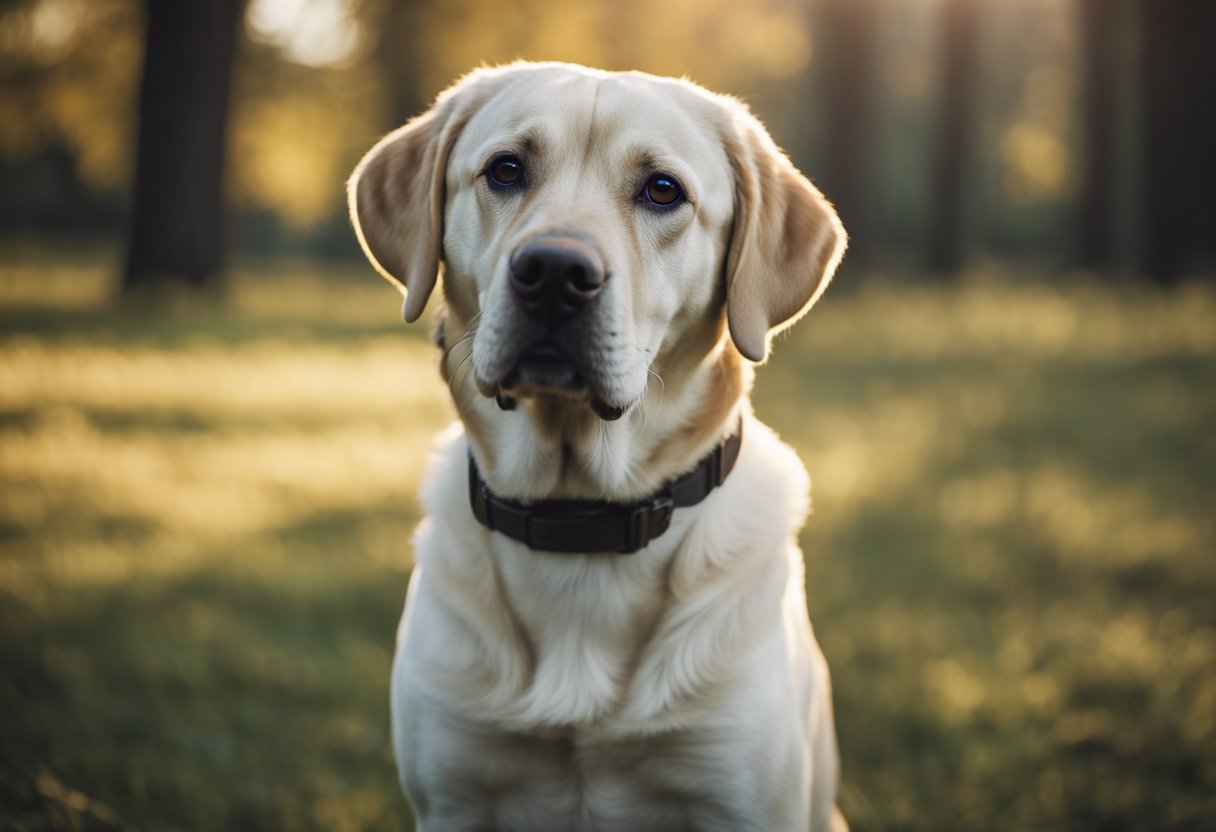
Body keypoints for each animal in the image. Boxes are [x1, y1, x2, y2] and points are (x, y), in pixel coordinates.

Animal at [347, 61, 851, 827]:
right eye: (506, 169)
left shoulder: (742, 799)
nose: (555, 272)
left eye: (663, 189)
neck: (579, 519)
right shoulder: (452, 794)